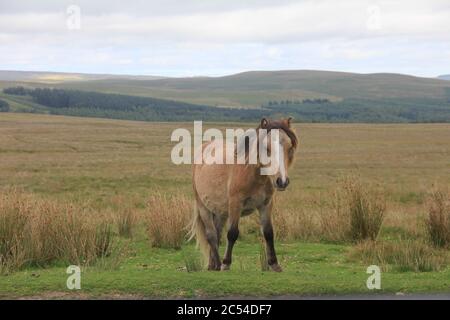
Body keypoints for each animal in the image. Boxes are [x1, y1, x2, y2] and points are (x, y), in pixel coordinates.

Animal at [190, 116, 298, 272]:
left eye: (290, 148)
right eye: (266, 148)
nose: (281, 181)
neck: (253, 174)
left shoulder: (266, 205)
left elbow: (268, 233)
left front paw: (274, 264)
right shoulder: (236, 204)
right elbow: (232, 233)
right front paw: (226, 263)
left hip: (221, 212)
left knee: (216, 232)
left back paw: (212, 265)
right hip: (203, 206)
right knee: (211, 235)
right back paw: (218, 264)